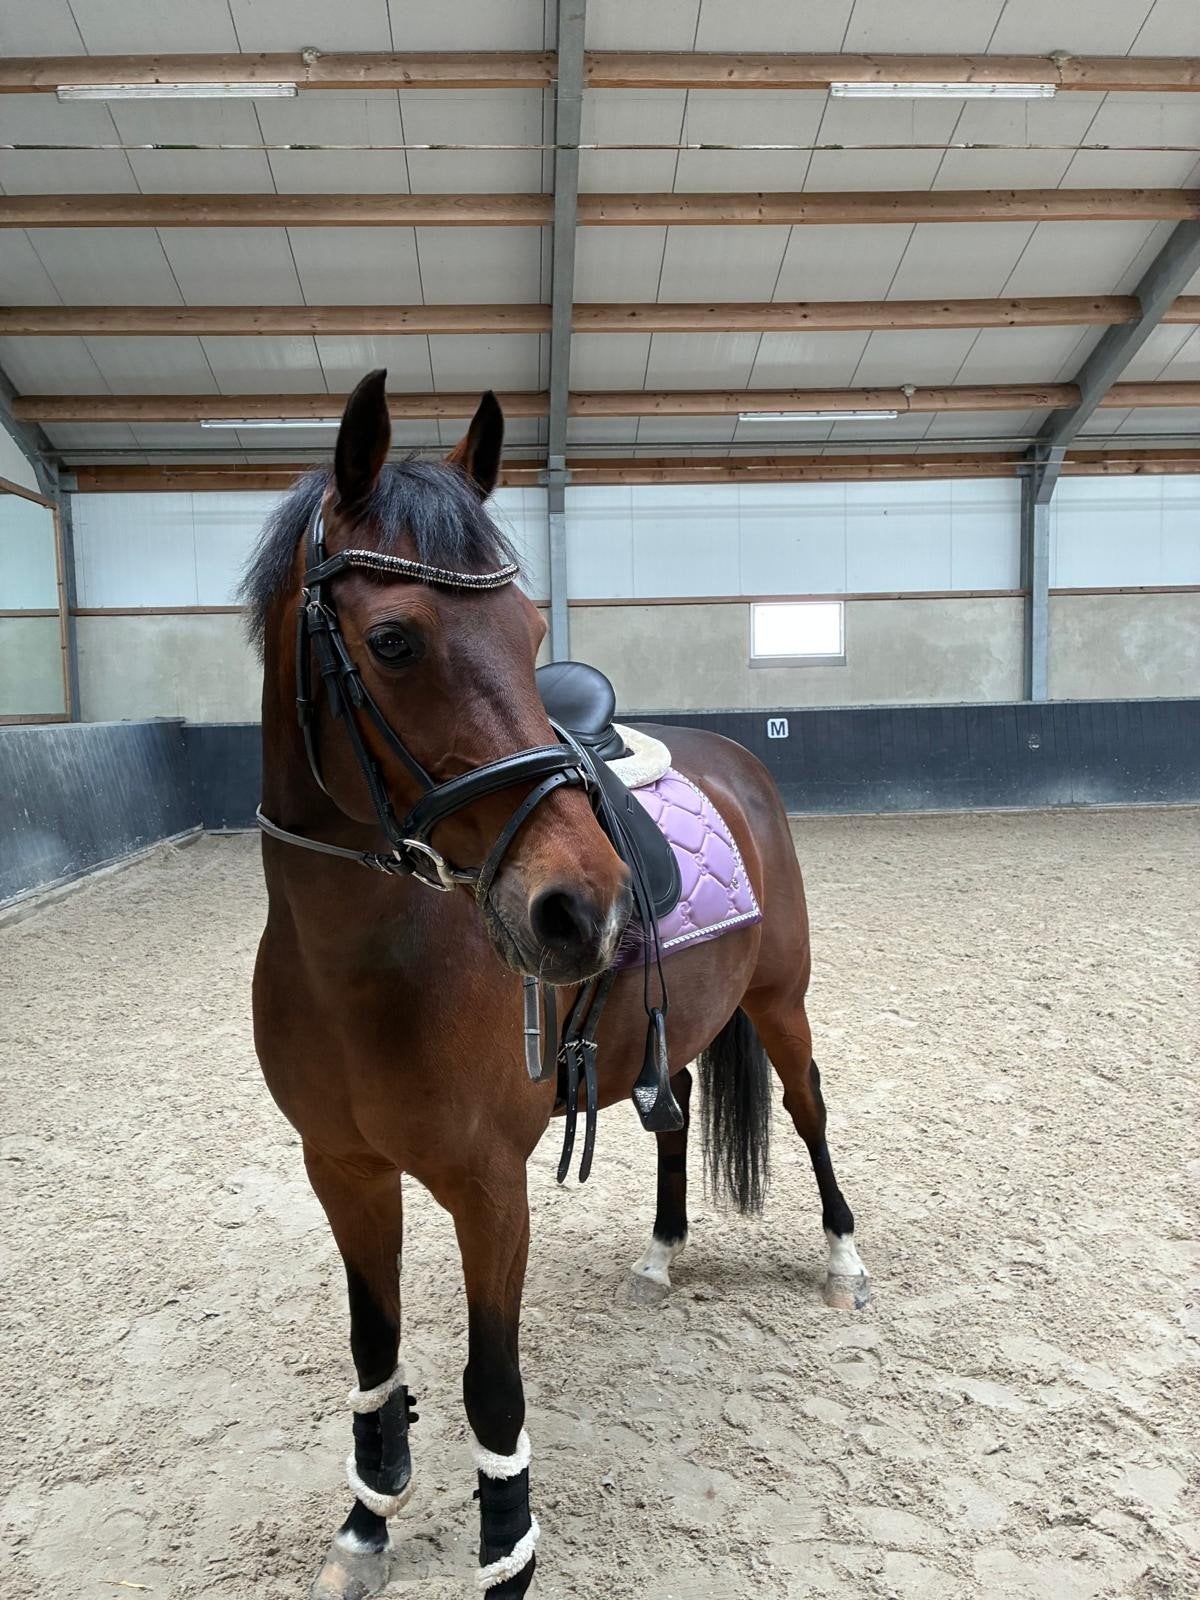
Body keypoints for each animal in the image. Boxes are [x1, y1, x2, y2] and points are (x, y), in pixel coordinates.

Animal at [244, 369, 869, 1598]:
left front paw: (507, 1555)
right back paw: (662, 1255)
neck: (361, 969)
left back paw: (841, 1258)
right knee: (679, 1113)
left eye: (531, 631)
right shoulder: (341, 1169)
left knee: (811, 1108)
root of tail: (739, 758)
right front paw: (369, 1518)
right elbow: (374, 1347)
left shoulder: (491, 1190)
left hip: (780, 1002)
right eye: (392, 638)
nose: (587, 905)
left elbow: (492, 1386)